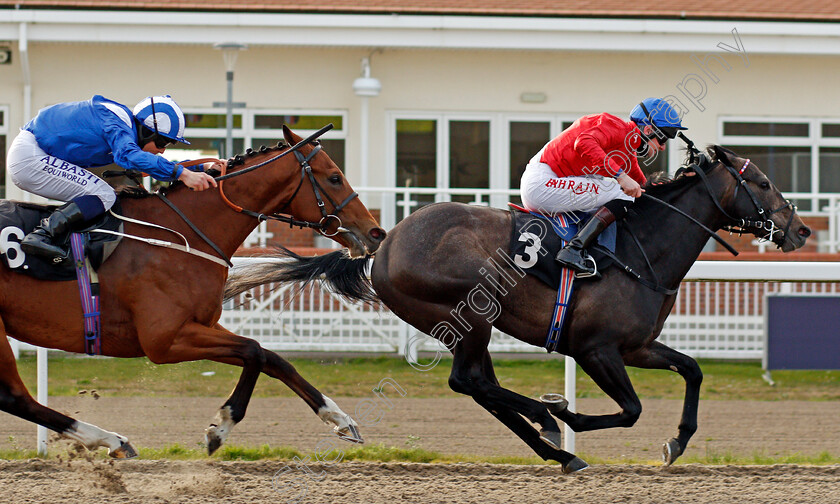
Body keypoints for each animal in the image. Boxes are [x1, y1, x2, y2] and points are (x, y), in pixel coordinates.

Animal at [0, 125, 388, 456]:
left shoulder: (200, 325)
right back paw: (111, 439)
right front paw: (221, 427)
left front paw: (340, 418)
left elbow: (271, 357)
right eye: (334, 177)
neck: (180, 232)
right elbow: (254, 351)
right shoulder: (164, 340)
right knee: (14, 396)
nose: (376, 233)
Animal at [226, 145, 812, 472]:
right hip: (471, 314)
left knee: (479, 386)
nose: (800, 230)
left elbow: (692, 370)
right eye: (762, 182)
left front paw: (676, 443)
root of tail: (384, 243)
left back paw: (555, 446)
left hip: (466, 326)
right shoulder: (597, 350)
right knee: (470, 381)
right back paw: (551, 425)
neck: (639, 249)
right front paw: (567, 412)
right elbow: (630, 409)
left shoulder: (637, 346)